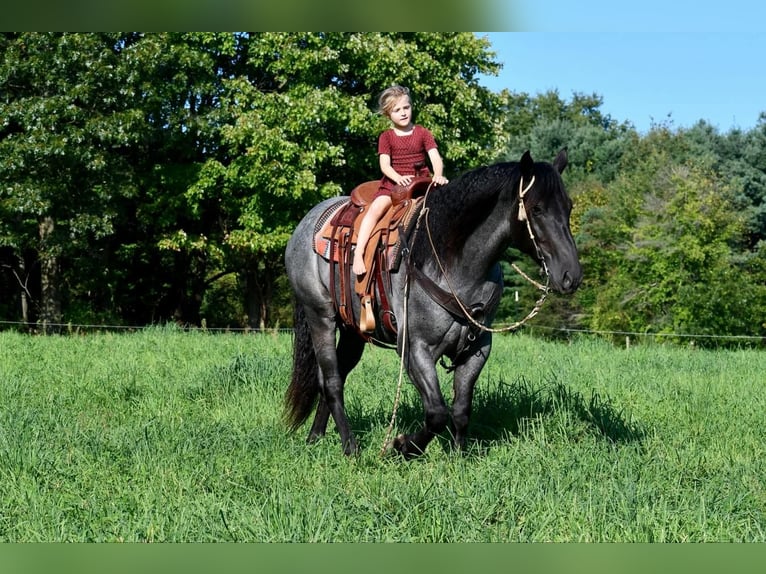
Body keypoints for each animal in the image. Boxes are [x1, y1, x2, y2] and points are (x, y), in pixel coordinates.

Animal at [284, 150, 584, 460]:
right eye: (536, 209)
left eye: (569, 207)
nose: (570, 276)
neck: (451, 259)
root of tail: (308, 222)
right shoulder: (416, 349)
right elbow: (437, 413)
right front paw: (403, 446)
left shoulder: (477, 349)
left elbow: (461, 409)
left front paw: (458, 455)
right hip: (320, 317)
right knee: (331, 381)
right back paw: (350, 446)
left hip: (353, 331)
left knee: (334, 378)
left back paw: (315, 436)